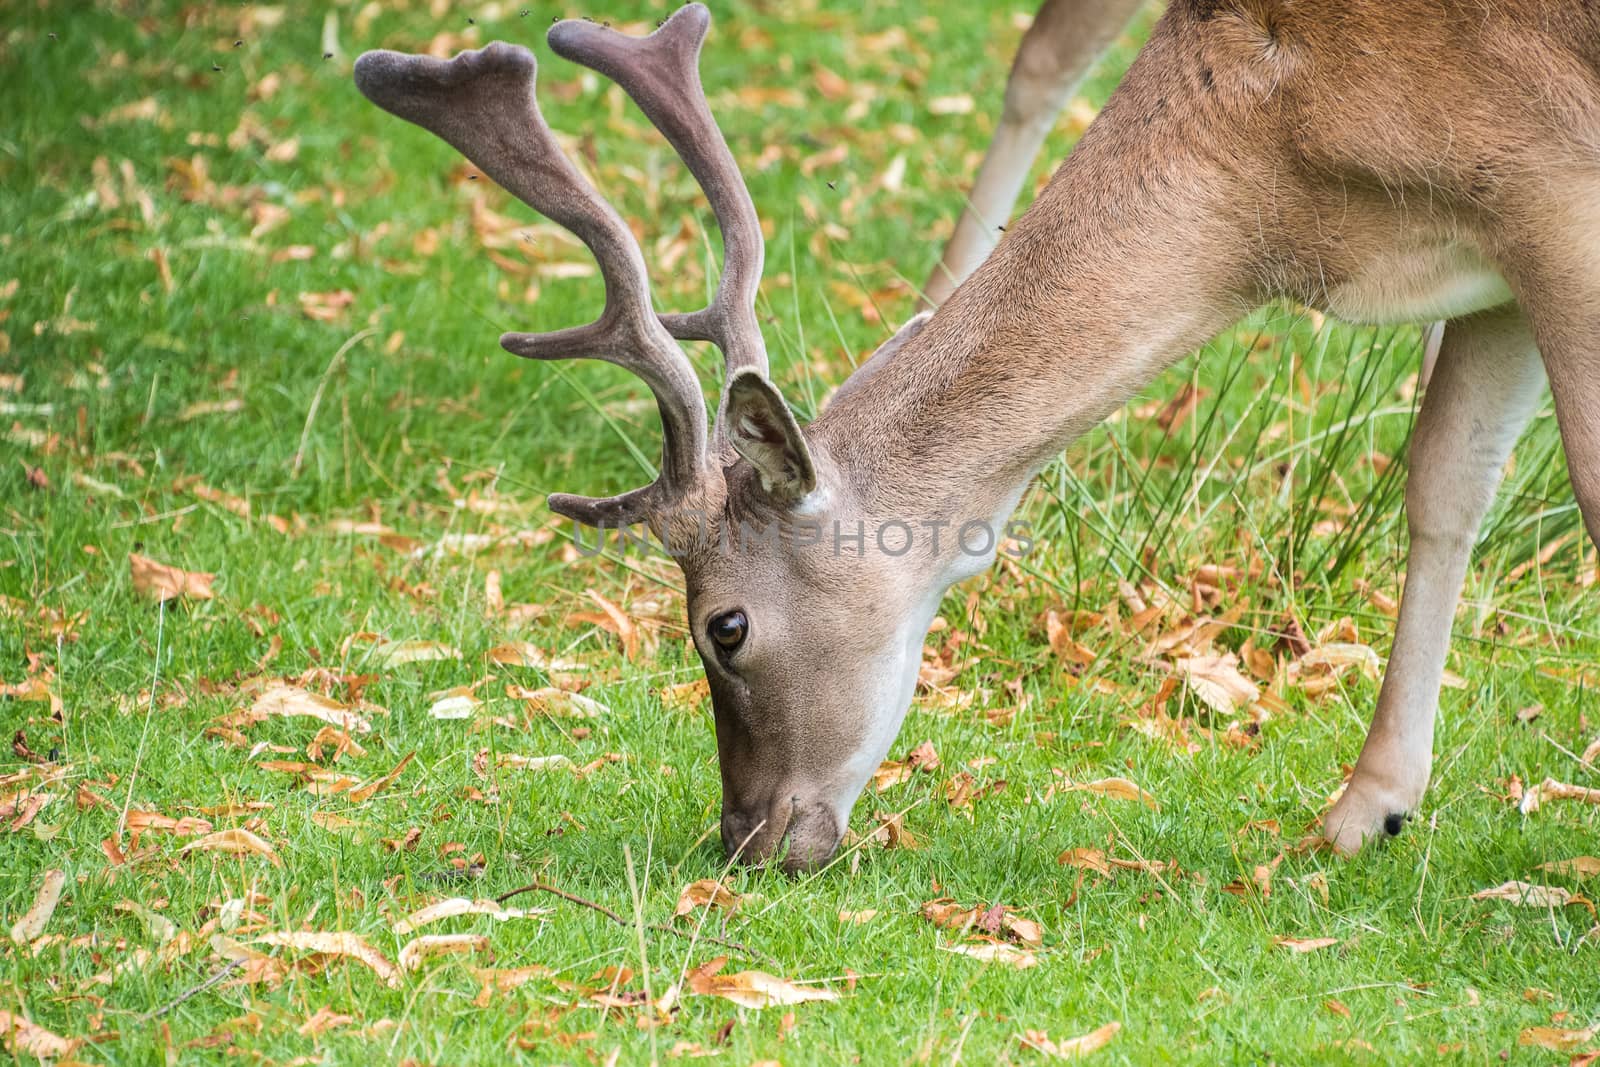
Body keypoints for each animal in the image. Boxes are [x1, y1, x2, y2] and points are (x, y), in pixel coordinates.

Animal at [360, 4, 1600, 870]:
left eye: (723, 627)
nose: (744, 834)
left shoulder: (1553, 191)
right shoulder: (1486, 246)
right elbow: (1443, 485)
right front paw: (1364, 811)